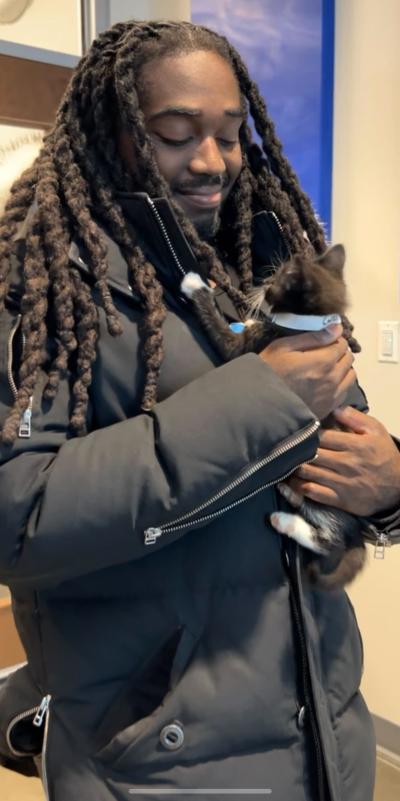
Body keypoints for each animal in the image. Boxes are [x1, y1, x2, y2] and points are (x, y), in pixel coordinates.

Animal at [180, 244, 368, 588]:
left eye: (275, 282)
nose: (262, 285)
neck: (306, 322)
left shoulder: (253, 344)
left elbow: (226, 340)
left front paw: (195, 286)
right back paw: (287, 494)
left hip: (322, 489)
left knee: (331, 540)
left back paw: (285, 521)